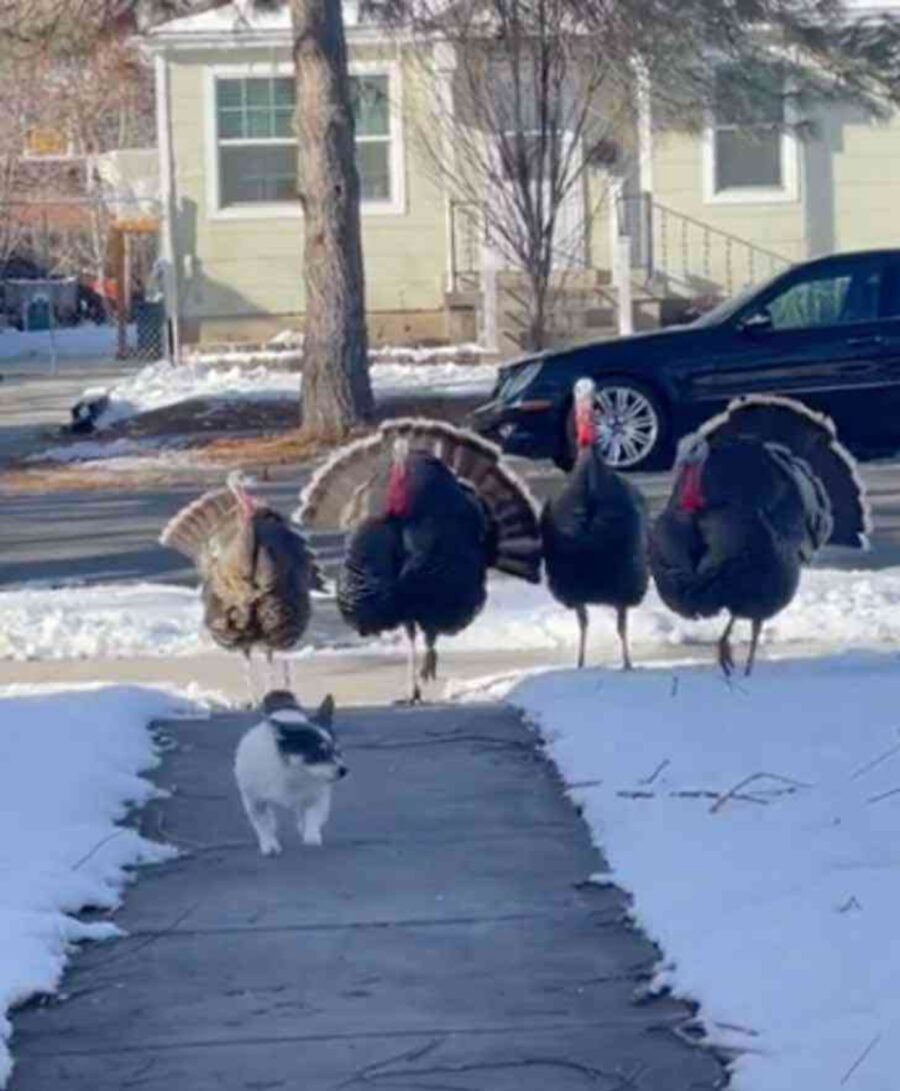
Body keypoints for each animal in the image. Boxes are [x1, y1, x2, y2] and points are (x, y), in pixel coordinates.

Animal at [235, 689, 346, 850]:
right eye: (318, 753)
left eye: (338, 752)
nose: (344, 770)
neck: (295, 773)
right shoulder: (255, 800)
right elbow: (263, 824)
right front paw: (269, 845)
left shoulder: (318, 795)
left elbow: (313, 814)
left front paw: (311, 835)